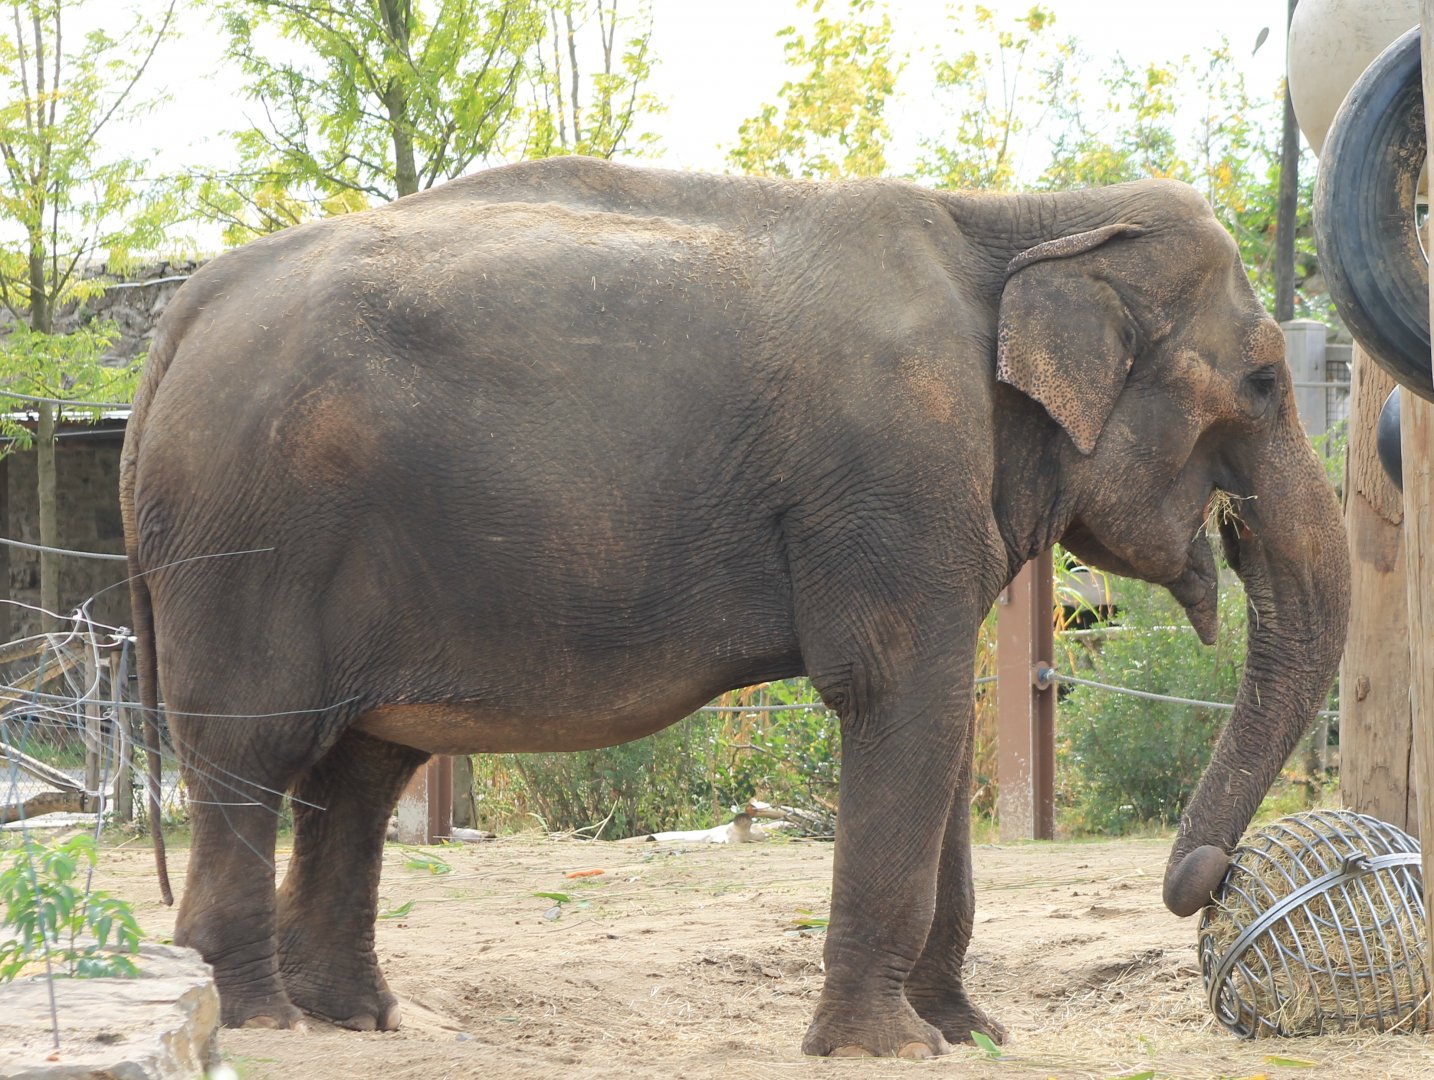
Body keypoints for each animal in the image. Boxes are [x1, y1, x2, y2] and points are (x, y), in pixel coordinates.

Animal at [121, 156, 1349, 1057]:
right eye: (1264, 382)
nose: (1205, 883)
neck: (1026, 219)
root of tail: (182, 315)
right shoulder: (893, 477)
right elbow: (901, 700)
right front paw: (885, 1049)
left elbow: (943, 729)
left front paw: (968, 1035)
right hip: (248, 539)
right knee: (255, 751)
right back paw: (265, 1017)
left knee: (362, 770)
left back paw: (363, 1021)